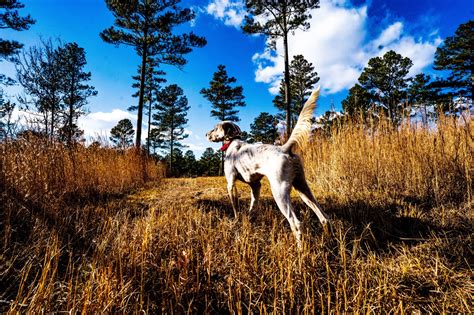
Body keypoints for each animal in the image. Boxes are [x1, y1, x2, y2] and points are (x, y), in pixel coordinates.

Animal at [206, 87, 328, 246]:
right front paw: (249, 221)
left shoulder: (230, 183)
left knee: (296, 223)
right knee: (324, 217)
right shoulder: (255, 185)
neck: (232, 142)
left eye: (215, 128)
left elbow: (235, 207)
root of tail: (284, 149)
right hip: (303, 188)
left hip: (279, 192)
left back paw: (300, 248)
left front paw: (237, 221)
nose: (206, 134)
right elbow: (253, 206)